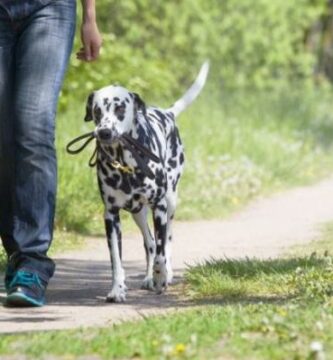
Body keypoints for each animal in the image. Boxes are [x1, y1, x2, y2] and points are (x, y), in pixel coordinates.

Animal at [83, 61, 208, 300]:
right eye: (96, 110)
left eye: (120, 109)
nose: (104, 132)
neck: (124, 164)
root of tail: (167, 113)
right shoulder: (111, 216)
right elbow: (116, 260)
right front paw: (117, 289)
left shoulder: (159, 207)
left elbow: (161, 252)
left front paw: (161, 277)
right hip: (137, 212)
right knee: (149, 242)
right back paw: (149, 277)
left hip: (170, 203)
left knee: (166, 242)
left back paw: (165, 274)